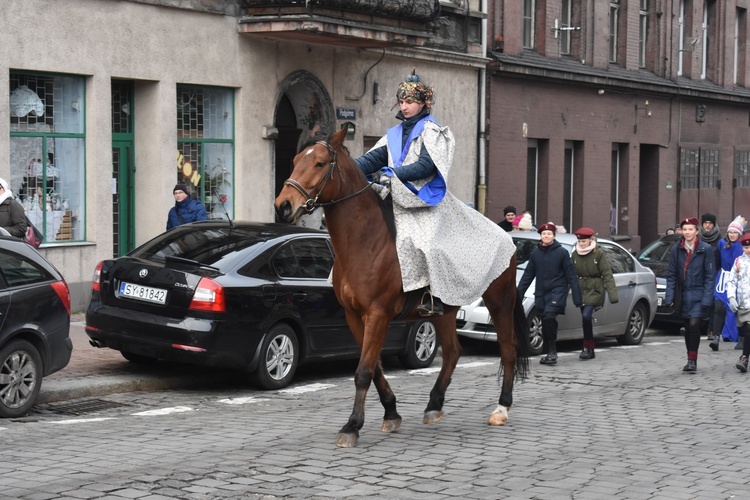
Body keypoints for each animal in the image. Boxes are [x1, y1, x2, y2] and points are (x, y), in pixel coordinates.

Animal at [274, 127, 528, 448]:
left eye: (319, 163)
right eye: (296, 161)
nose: (283, 205)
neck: (366, 241)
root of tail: (507, 237)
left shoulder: (378, 314)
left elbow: (364, 370)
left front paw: (352, 426)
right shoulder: (354, 316)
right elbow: (374, 366)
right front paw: (391, 412)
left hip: (499, 301)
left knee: (507, 349)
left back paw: (501, 409)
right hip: (445, 310)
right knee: (453, 351)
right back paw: (434, 404)